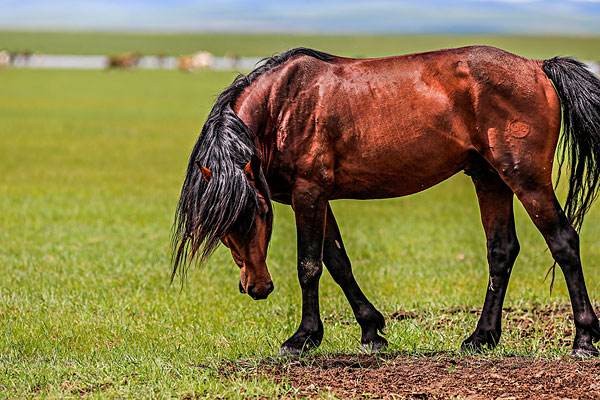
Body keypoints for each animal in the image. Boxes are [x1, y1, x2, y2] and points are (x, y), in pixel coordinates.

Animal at [171, 44, 600, 356]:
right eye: (224, 229)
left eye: (261, 211)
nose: (258, 287)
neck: (282, 106)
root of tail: (538, 67)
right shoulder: (315, 199)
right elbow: (338, 262)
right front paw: (371, 329)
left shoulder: (308, 194)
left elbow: (309, 265)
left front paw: (303, 338)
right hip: (490, 178)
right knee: (501, 250)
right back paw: (481, 338)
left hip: (526, 179)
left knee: (563, 241)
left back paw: (583, 339)